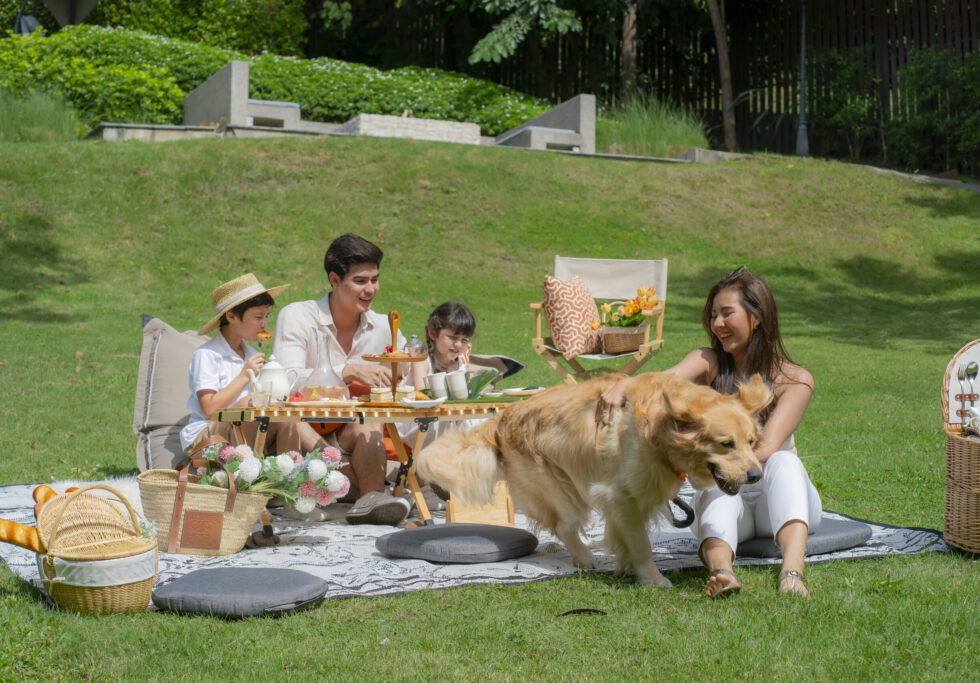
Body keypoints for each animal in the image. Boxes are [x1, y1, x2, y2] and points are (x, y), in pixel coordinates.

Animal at [414, 374, 772, 588]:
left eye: (751, 441)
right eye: (726, 444)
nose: (756, 475)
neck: (659, 430)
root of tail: (502, 417)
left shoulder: (634, 497)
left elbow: (627, 538)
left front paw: (626, 566)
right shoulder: (620, 494)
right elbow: (642, 544)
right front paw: (653, 578)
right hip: (559, 486)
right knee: (564, 525)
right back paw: (584, 557)